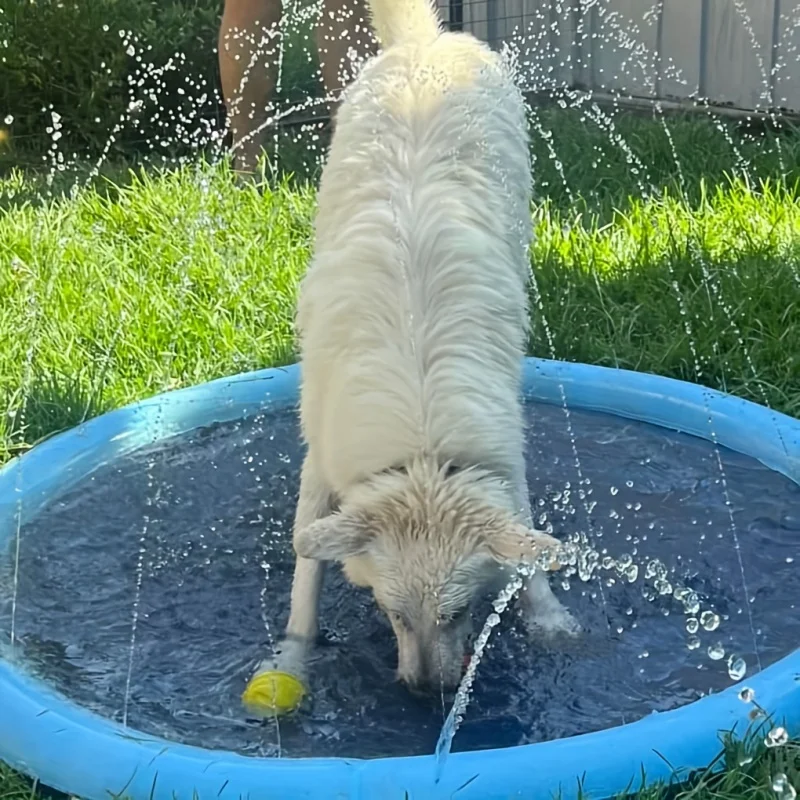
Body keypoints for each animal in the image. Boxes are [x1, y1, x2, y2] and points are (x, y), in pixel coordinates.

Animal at [260, 0, 580, 692]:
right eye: (392, 613)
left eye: (458, 612)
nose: (426, 693)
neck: (423, 447)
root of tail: (427, 43)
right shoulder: (321, 462)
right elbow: (306, 569)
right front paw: (293, 654)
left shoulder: (503, 457)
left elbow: (526, 542)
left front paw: (548, 616)